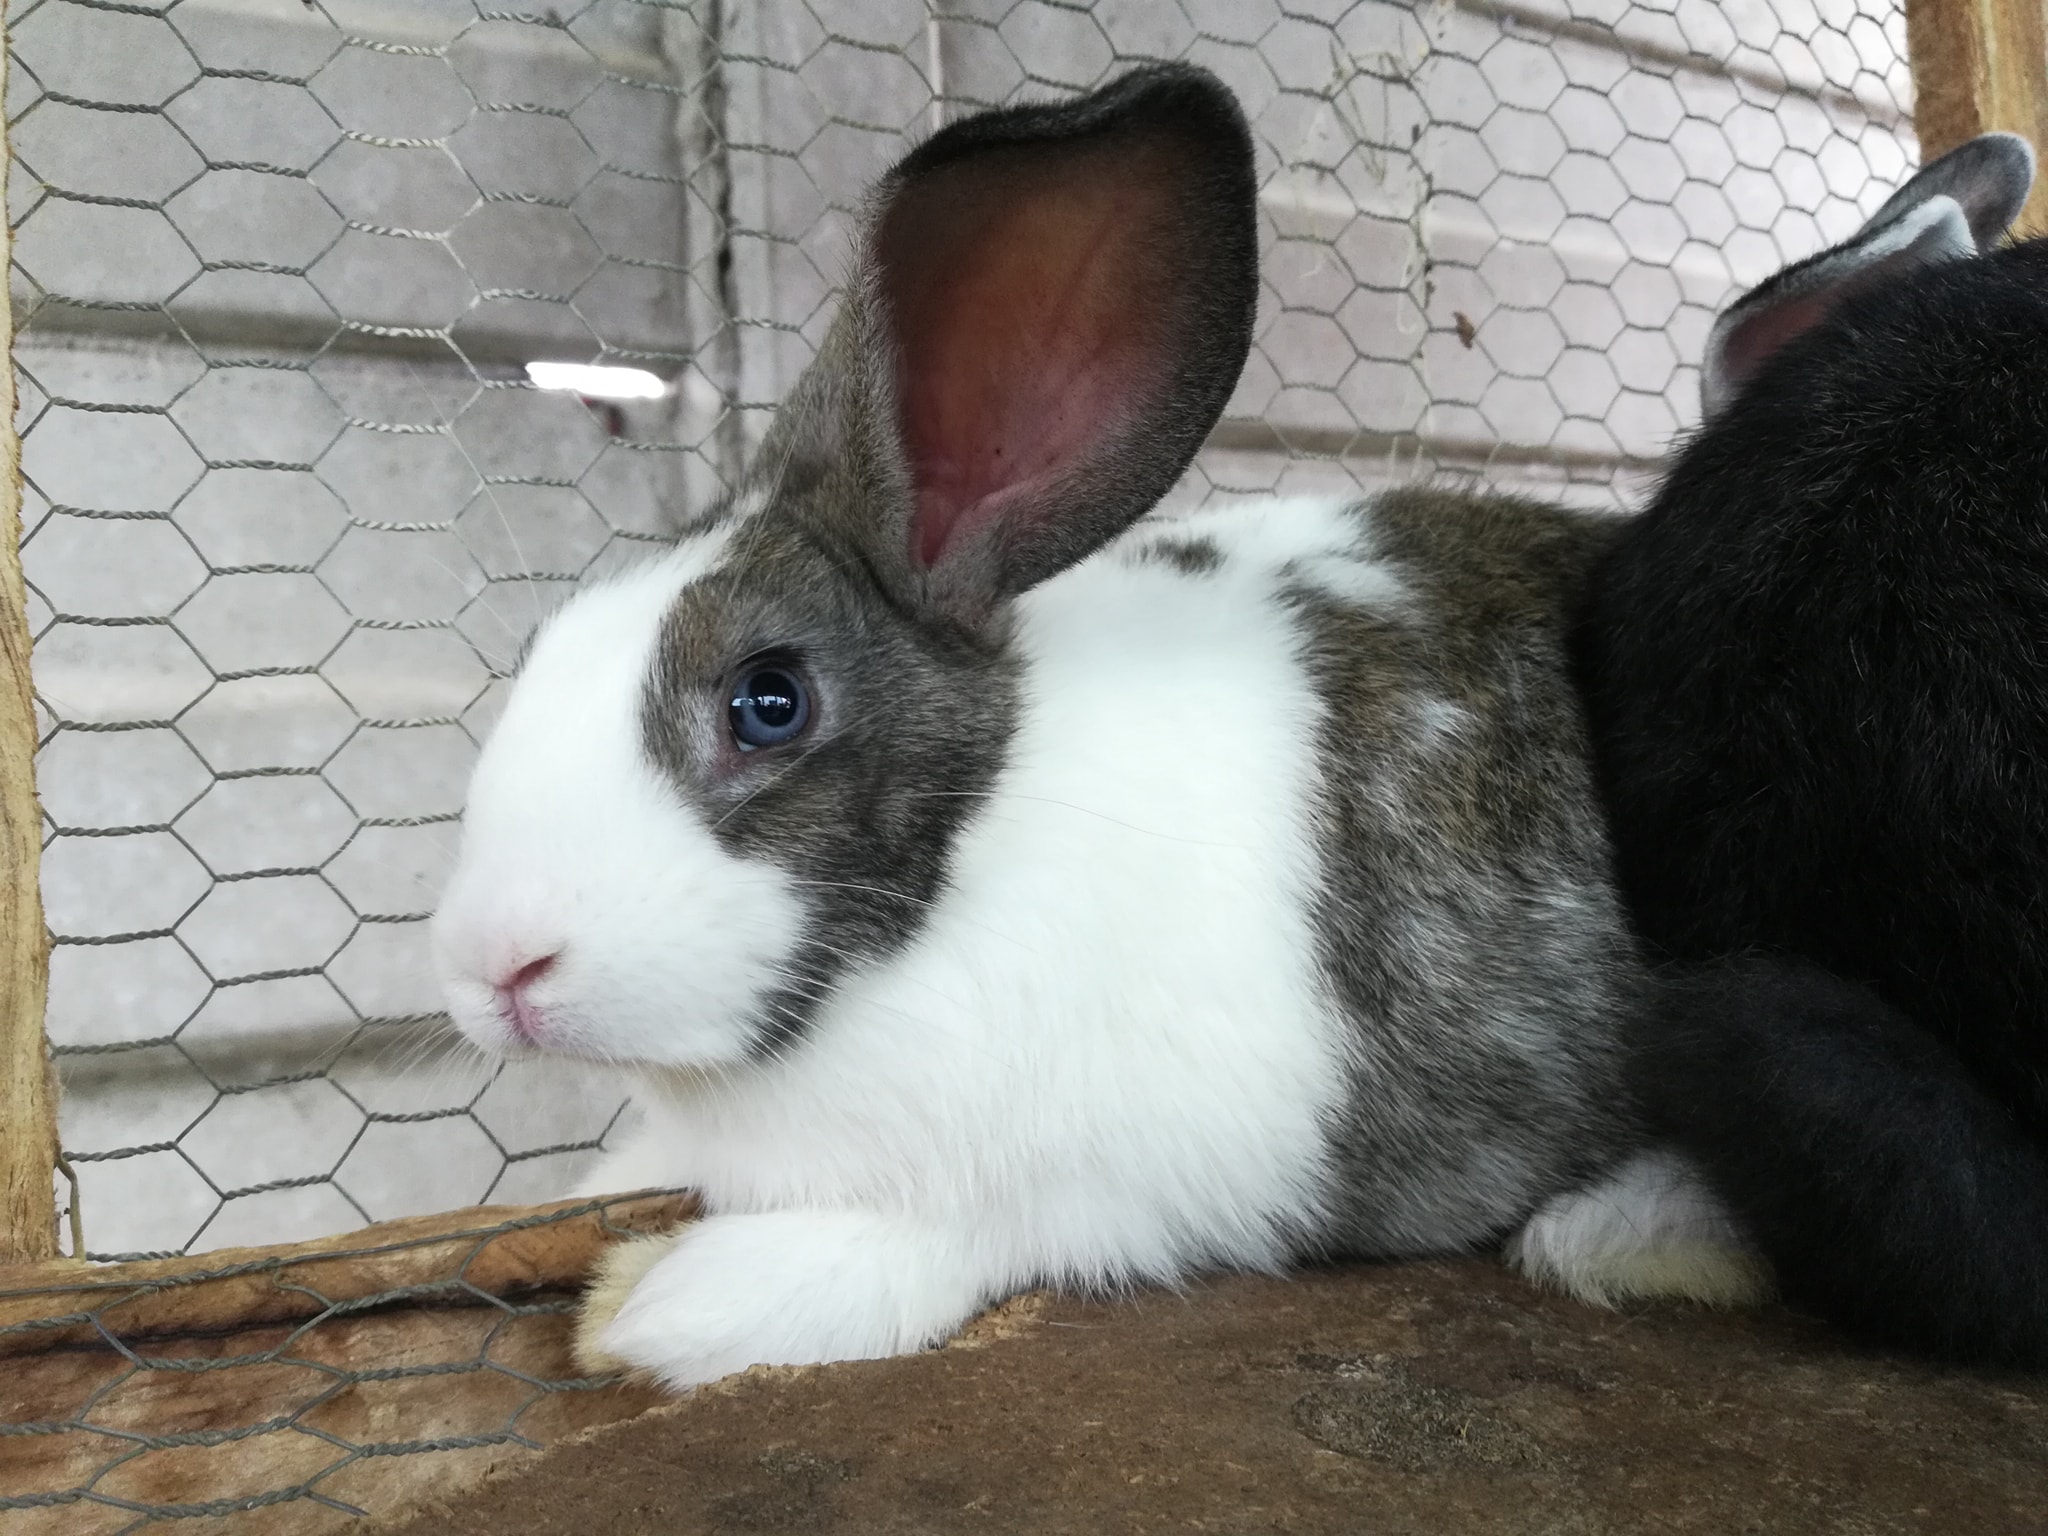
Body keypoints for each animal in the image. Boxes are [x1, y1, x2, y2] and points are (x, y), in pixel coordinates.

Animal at [430, 62, 1753, 1392]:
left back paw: (1620, 1234)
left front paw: (659, 1308)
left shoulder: (1051, 1193)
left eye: (767, 702)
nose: (497, 967)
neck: (968, 851)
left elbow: (902, 1254)